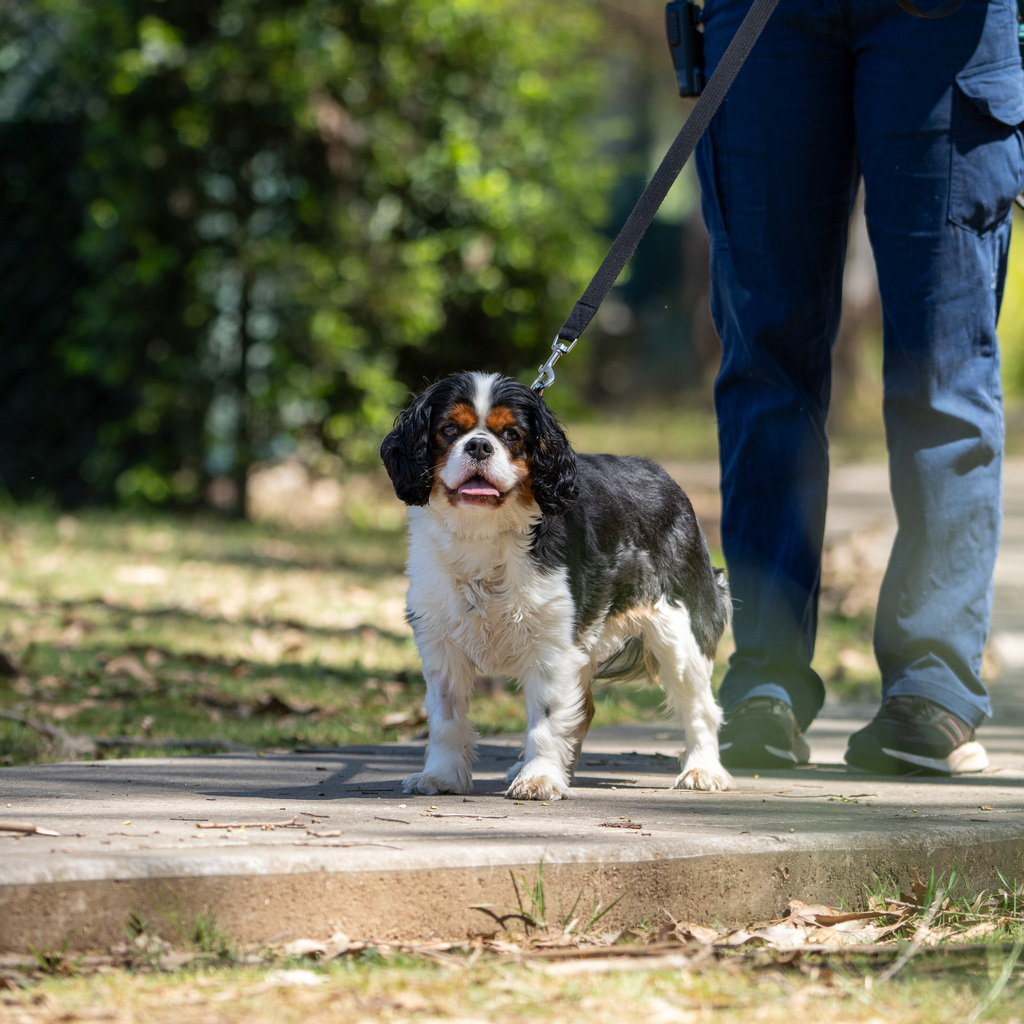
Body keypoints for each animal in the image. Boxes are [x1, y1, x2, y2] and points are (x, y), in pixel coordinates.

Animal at [380, 371, 733, 800]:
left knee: (700, 707)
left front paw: (540, 778)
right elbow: (447, 717)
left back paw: (703, 770)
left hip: (679, 634)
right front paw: (442, 776)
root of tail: (664, 477)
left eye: (511, 434)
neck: (484, 533)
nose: (479, 445)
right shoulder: (441, 643)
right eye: (449, 430)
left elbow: (546, 719)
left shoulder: (551, 647)